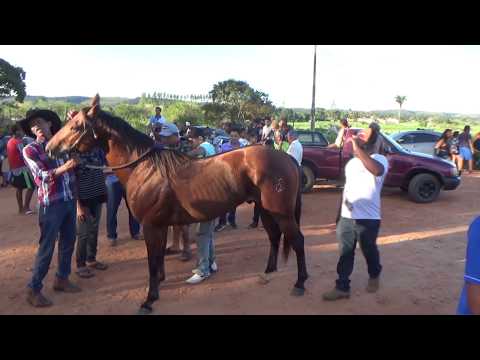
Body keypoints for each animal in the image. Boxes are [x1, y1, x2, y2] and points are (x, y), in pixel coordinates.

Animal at [46, 94, 308, 314]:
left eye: (76, 126)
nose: (50, 148)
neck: (145, 168)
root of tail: (287, 158)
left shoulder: (151, 226)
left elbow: (152, 262)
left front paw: (149, 300)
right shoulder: (160, 226)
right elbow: (159, 258)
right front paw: (159, 284)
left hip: (282, 213)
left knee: (296, 240)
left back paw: (300, 283)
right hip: (265, 210)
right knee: (274, 237)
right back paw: (268, 273)